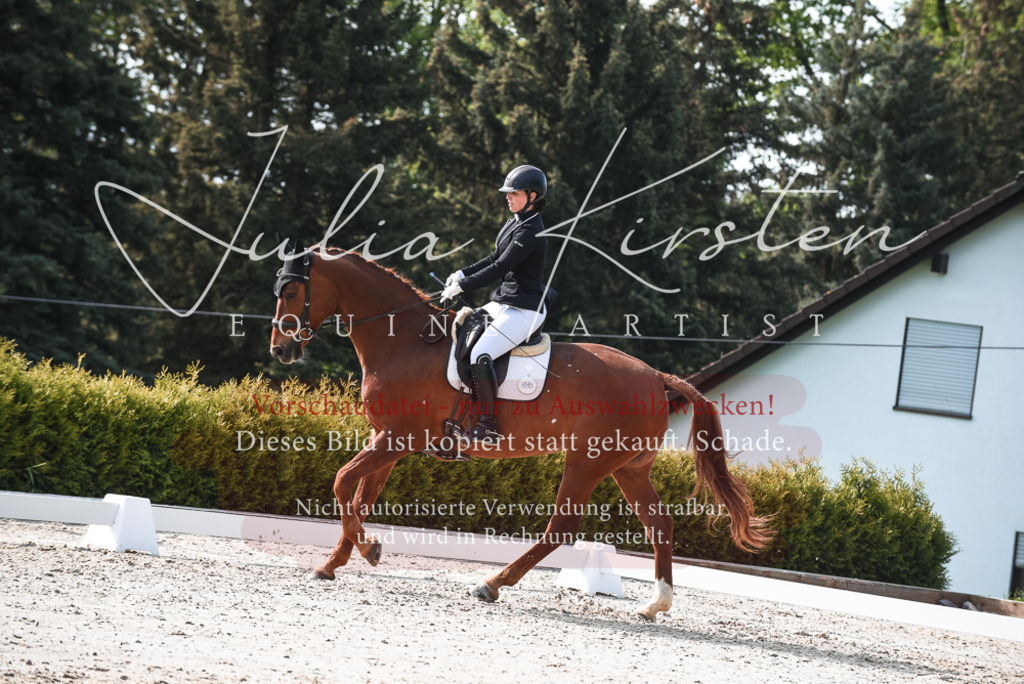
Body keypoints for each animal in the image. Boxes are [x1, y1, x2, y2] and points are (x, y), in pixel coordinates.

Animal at [268, 241, 772, 621]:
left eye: (291, 292)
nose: (280, 351)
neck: (404, 342)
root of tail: (655, 377)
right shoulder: (387, 441)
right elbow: (359, 497)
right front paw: (334, 563)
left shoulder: (396, 439)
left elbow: (342, 483)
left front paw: (368, 550)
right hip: (628, 468)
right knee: (659, 523)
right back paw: (655, 604)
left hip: (587, 462)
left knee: (562, 527)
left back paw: (493, 584)